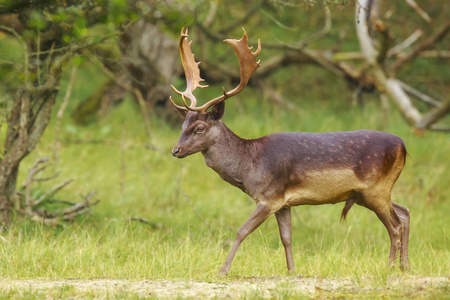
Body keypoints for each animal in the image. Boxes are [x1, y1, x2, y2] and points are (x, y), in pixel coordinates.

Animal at [170, 28, 412, 276]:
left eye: (200, 128)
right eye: (183, 125)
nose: (176, 150)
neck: (249, 166)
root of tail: (403, 146)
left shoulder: (269, 197)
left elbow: (241, 231)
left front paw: (222, 271)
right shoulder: (283, 202)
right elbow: (286, 238)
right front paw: (292, 271)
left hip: (376, 188)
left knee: (394, 226)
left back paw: (390, 268)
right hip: (368, 193)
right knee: (404, 212)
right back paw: (405, 266)